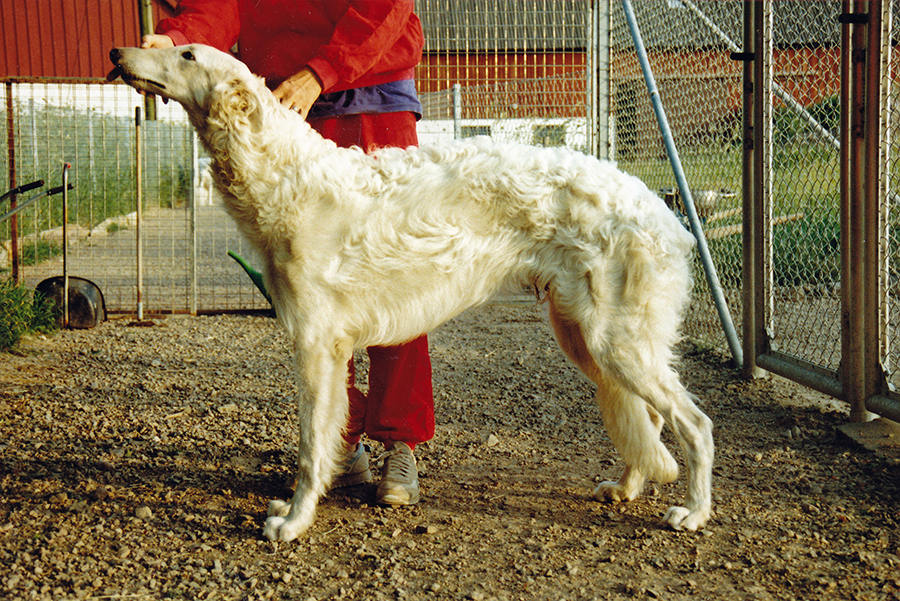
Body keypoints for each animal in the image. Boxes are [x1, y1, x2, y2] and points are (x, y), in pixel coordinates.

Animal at [109, 44, 712, 540]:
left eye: (187, 55)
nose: (117, 53)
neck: (288, 176)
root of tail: (663, 211)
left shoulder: (314, 345)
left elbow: (310, 448)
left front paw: (294, 522)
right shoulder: (332, 351)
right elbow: (331, 436)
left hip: (614, 340)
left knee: (695, 424)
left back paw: (693, 512)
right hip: (586, 337)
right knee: (649, 419)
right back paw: (628, 486)